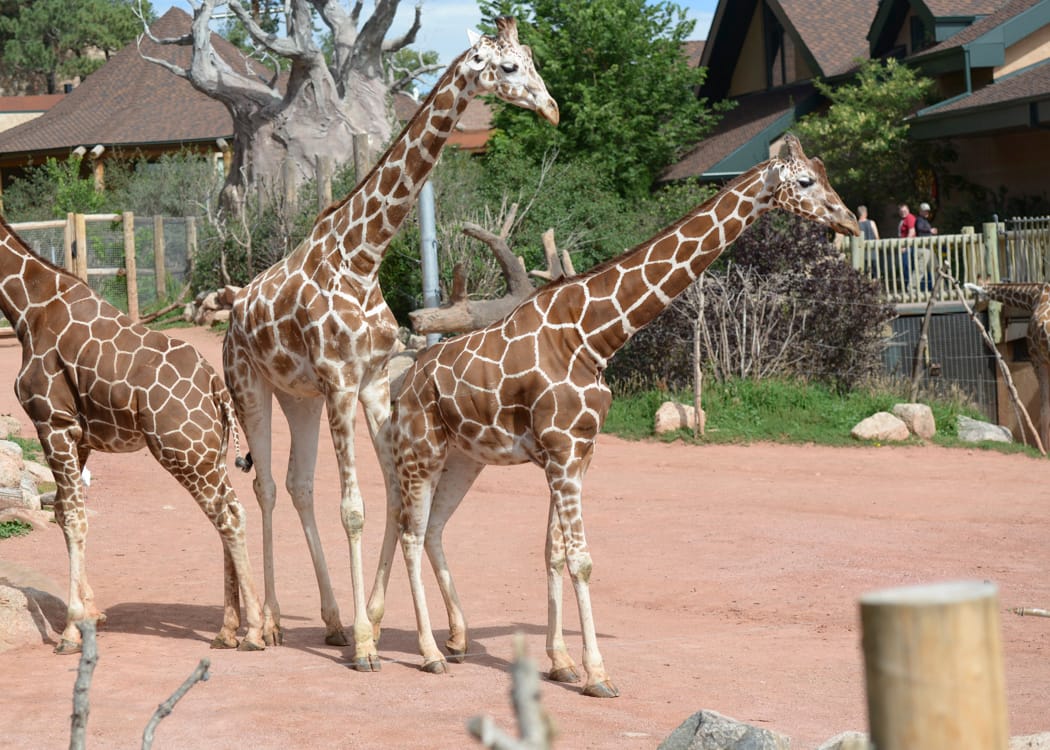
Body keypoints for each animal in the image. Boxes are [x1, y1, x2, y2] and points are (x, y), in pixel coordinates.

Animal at [1, 213, 270, 651]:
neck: (27, 309)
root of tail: (216, 386)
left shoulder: (52, 422)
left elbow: (73, 517)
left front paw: (71, 632)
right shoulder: (79, 436)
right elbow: (61, 511)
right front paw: (92, 614)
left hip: (184, 451)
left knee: (227, 516)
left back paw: (254, 632)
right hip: (208, 453)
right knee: (232, 512)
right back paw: (227, 630)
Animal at [221, 14, 558, 668]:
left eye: (532, 57)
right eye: (508, 67)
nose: (552, 109)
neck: (362, 255)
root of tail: (232, 312)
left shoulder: (373, 382)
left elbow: (398, 500)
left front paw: (385, 630)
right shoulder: (339, 379)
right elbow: (354, 508)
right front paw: (366, 647)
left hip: (297, 397)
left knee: (298, 486)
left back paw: (327, 620)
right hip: (251, 386)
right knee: (266, 486)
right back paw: (261, 626)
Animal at [373, 134, 865, 693]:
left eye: (825, 176)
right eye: (805, 181)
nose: (849, 221)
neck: (595, 333)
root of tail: (405, 382)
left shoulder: (579, 453)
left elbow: (554, 553)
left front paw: (561, 662)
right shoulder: (563, 451)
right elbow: (582, 560)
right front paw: (597, 674)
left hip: (463, 458)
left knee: (431, 530)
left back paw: (451, 640)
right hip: (422, 450)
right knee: (411, 533)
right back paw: (429, 652)